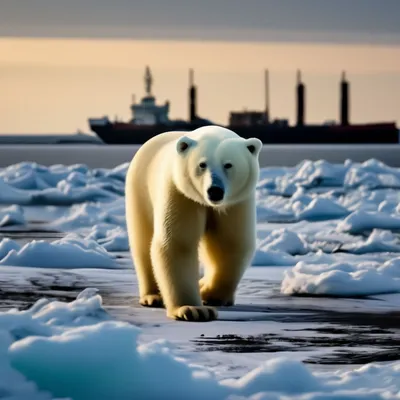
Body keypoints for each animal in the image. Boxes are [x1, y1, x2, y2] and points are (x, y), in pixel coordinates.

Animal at [126, 125, 262, 322]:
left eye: (228, 164)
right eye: (202, 164)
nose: (215, 191)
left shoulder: (236, 203)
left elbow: (230, 243)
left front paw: (210, 294)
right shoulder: (180, 193)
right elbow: (178, 243)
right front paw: (193, 309)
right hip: (140, 190)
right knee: (142, 241)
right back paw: (153, 296)